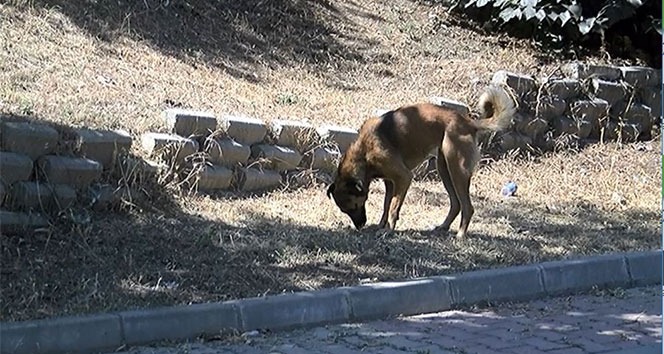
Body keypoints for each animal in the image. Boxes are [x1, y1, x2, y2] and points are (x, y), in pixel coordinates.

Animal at [326, 86, 520, 238]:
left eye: (354, 205)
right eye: (345, 210)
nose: (360, 226)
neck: (364, 152)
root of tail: (469, 122)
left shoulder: (404, 177)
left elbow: (393, 208)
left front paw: (388, 230)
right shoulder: (390, 182)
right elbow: (386, 205)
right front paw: (381, 225)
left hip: (457, 169)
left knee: (467, 206)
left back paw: (460, 234)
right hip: (444, 169)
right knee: (456, 204)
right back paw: (443, 227)